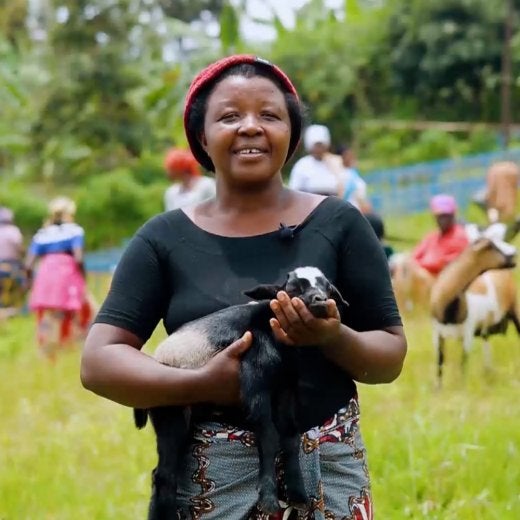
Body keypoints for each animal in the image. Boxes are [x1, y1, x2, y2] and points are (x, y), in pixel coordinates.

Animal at [134, 266, 348, 516]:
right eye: (294, 288)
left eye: (327, 287)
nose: (320, 300)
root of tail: (158, 359)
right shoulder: (255, 385)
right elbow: (269, 436)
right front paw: (268, 498)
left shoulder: (285, 388)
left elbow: (290, 437)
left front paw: (298, 493)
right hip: (170, 412)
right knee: (164, 475)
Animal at [428, 237, 516, 386]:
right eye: (491, 246)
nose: (514, 255)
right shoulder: (437, 334)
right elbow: (440, 363)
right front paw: (438, 389)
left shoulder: (468, 332)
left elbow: (463, 363)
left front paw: (461, 387)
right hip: (485, 328)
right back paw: (488, 374)